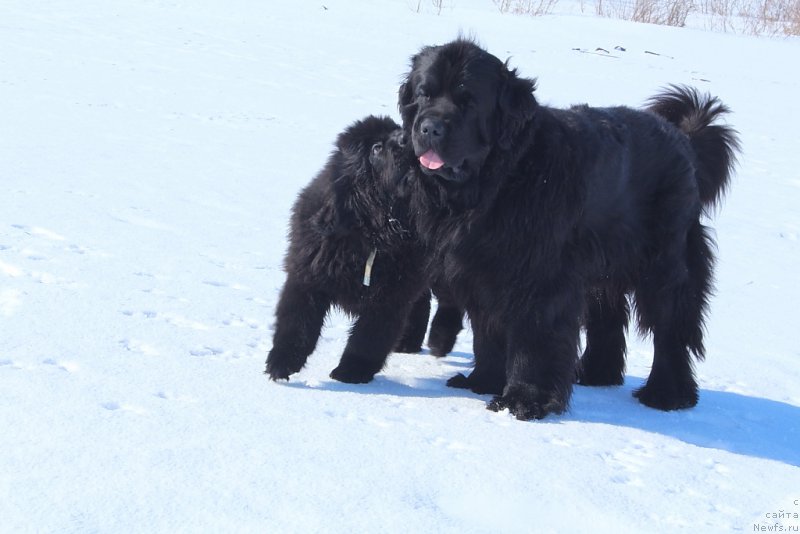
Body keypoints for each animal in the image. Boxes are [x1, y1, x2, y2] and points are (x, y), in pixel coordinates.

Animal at [264, 116, 460, 386]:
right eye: (376, 148)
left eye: (397, 130)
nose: (405, 138)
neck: (374, 230)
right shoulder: (307, 276)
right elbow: (296, 324)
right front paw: (280, 365)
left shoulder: (389, 296)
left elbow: (368, 338)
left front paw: (350, 373)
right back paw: (408, 344)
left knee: (449, 302)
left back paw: (440, 342)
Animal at [404, 38, 740, 422]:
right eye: (424, 94)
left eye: (468, 100)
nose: (430, 128)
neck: (500, 180)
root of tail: (682, 138)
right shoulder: (481, 268)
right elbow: (487, 330)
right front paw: (483, 381)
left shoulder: (540, 276)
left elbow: (534, 337)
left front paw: (523, 400)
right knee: (608, 315)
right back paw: (596, 373)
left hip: (665, 260)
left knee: (671, 325)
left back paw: (667, 394)